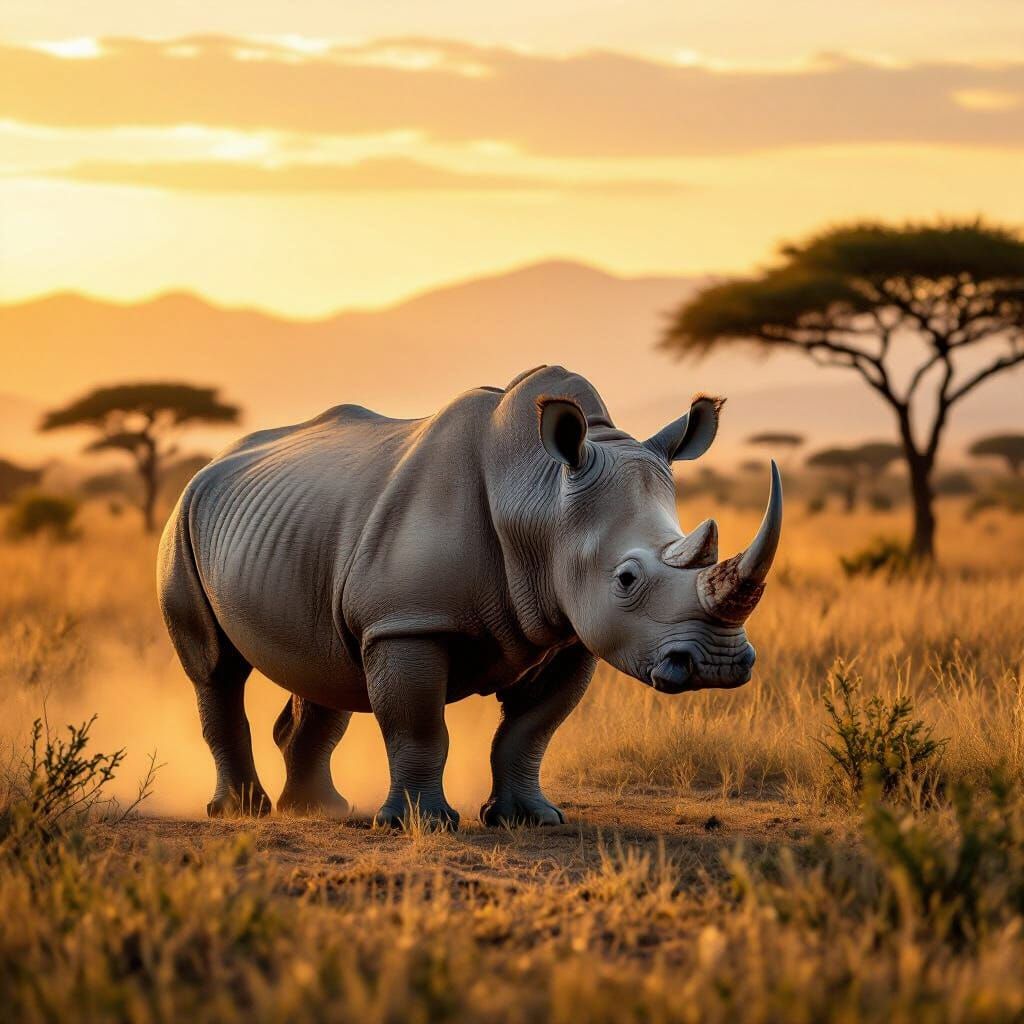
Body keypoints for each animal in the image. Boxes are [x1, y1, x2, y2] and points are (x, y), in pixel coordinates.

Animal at [157, 365, 782, 828]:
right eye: (626, 578)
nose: (719, 665)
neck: (538, 498)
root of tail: (212, 462)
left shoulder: (570, 631)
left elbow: (531, 730)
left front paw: (531, 819)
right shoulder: (408, 621)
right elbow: (418, 725)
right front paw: (420, 824)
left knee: (326, 665)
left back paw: (321, 810)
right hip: (182, 521)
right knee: (215, 669)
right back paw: (239, 813)